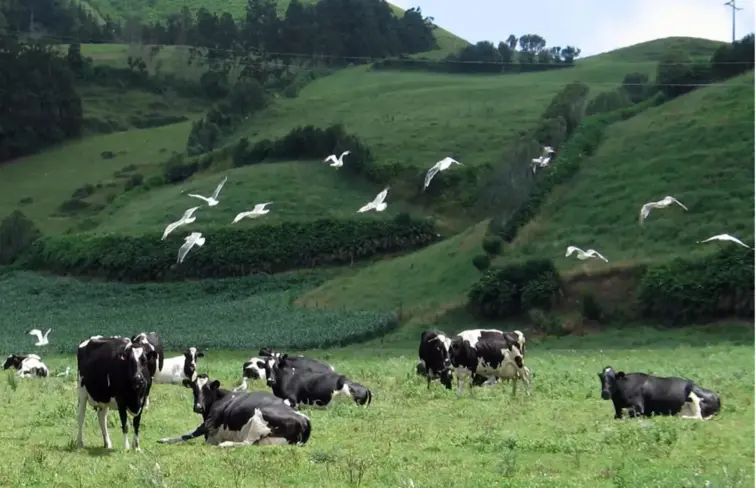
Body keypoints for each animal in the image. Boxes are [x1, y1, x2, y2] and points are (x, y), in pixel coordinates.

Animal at [157, 374, 310, 447]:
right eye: (194, 390)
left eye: (207, 390)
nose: (198, 407)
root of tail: (305, 419)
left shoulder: (210, 422)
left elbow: (189, 433)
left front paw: (164, 439)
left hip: (258, 421)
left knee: (247, 443)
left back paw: (225, 444)